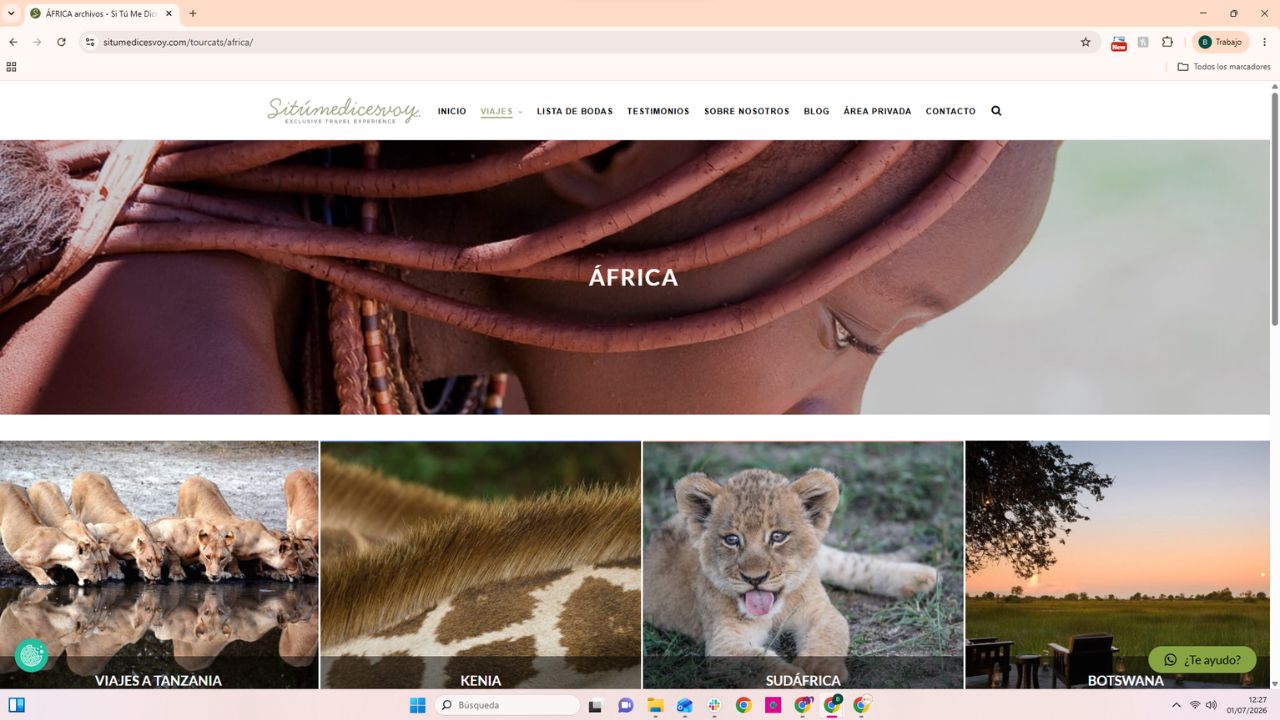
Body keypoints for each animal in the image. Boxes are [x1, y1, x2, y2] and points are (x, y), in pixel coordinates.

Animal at [643, 468, 937, 681]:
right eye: (731, 539)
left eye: (778, 536)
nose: (755, 578)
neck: (776, 610)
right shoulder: (724, 641)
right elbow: (760, 664)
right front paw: (795, 682)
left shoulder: (820, 611)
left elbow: (829, 634)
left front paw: (820, 672)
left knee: (851, 563)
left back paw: (920, 577)